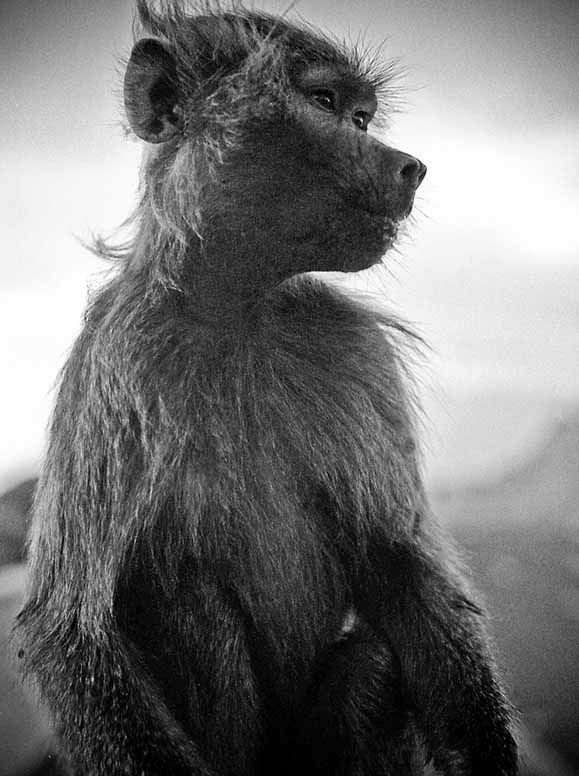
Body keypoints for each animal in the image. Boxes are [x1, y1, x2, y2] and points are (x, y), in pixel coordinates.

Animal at [16, 2, 518, 775]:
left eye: (364, 117)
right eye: (325, 104)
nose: (412, 166)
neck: (235, 308)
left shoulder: (356, 352)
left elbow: (404, 569)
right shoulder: (112, 362)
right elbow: (73, 625)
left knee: (374, 657)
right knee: (186, 593)